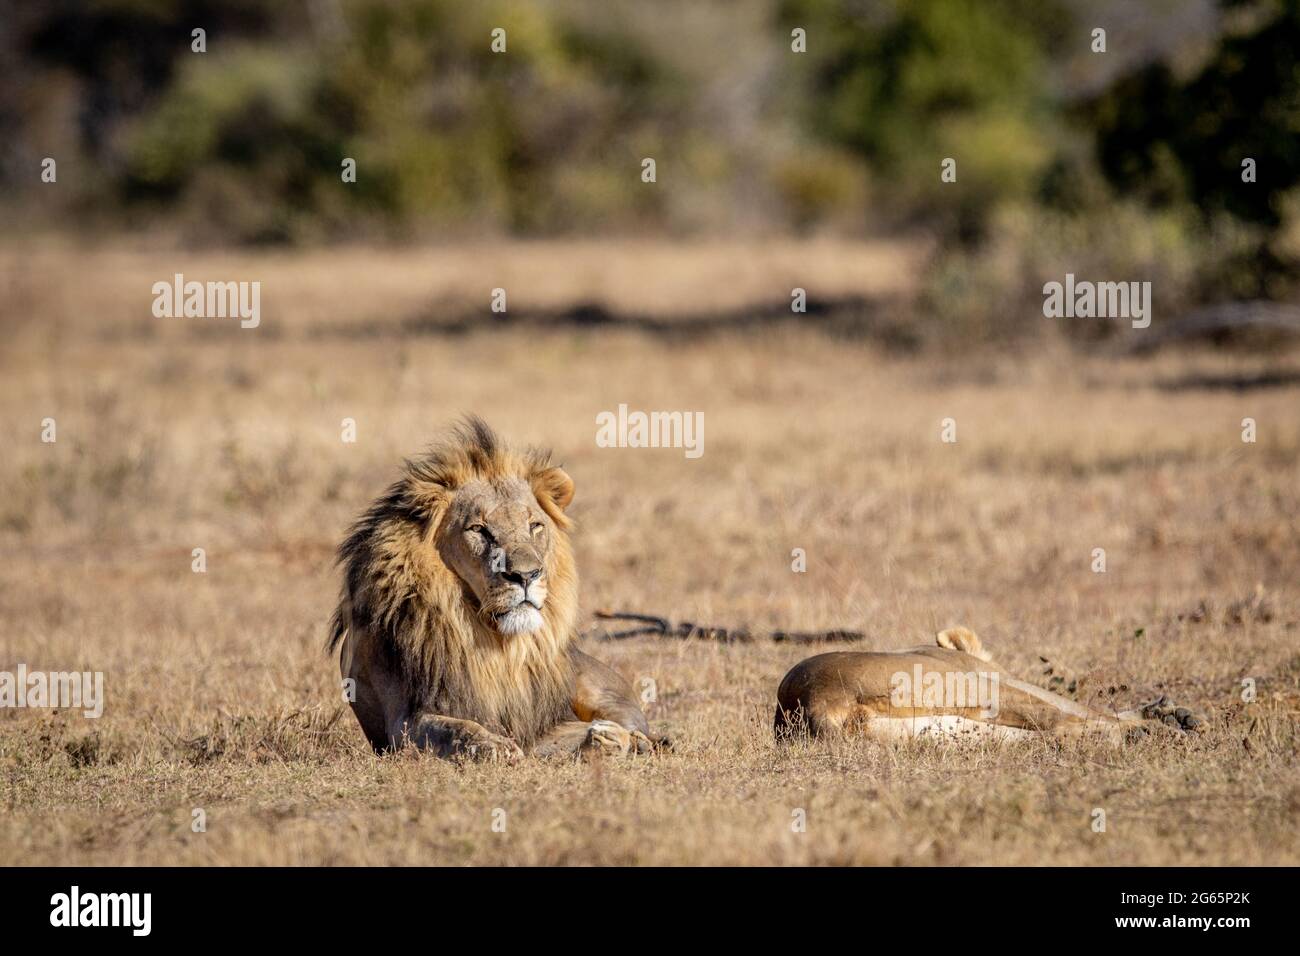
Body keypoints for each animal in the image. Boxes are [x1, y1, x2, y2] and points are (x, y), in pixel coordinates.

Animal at [330, 418, 660, 764]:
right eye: (478, 530)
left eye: (535, 526)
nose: (526, 575)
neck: (495, 641)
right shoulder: (403, 723)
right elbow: (451, 728)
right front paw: (493, 745)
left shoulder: (538, 724)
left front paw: (611, 739)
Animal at [774, 629, 1201, 749]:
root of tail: (808, 700)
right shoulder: (994, 677)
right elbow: (1076, 707)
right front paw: (1164, 713)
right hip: (977, 689)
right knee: (1058, 721)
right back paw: (1152, 732)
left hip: (948, 731)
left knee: (1047, 736)